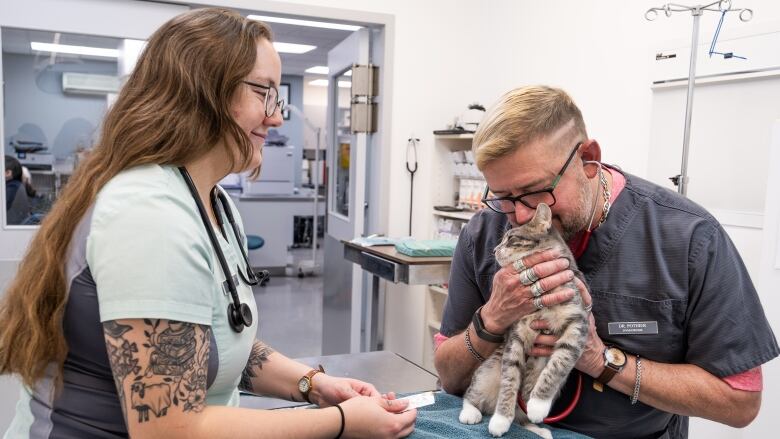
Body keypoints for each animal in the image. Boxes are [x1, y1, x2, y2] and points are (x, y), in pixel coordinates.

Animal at [458, 205, 584, 438]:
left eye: (511, 238)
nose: (494, 250)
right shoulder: (515, 333)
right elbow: (510, 378)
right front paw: (500, 420)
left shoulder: (577, 325)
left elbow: (558, 365)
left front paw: (538, 404)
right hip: (488, 370)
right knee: (472, 393)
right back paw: (472, 412)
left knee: (522, 417)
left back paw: (538, 428)